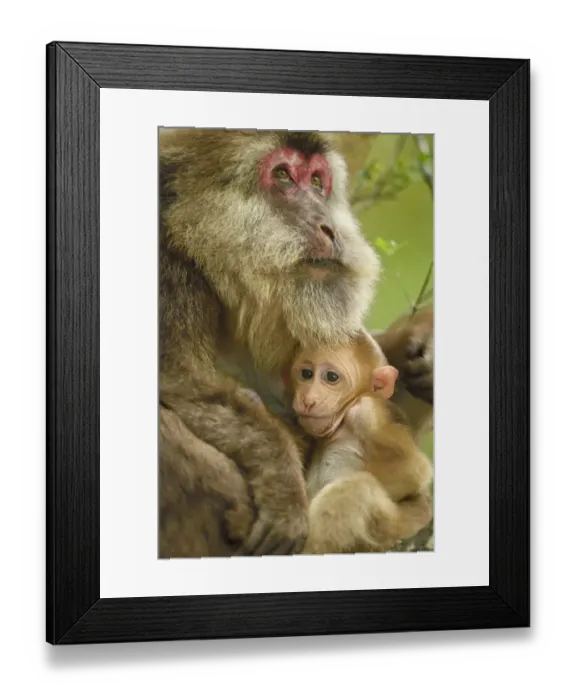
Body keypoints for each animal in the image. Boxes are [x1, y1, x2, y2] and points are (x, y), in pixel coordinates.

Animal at [287, 330, 432, 555]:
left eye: (332, 377)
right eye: (306, 374)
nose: (308, 400)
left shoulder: (365, 411)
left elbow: (414, 470)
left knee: (357, 486)